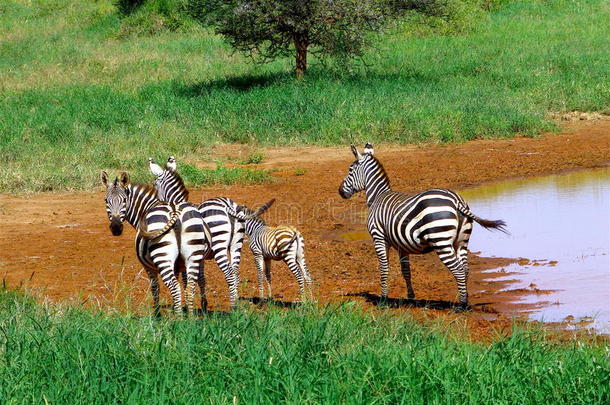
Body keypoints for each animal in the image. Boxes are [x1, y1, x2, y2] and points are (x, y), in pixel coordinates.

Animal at [101, 169, 210, 314]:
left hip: (162, 256)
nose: (116, 227)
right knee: (191, 285)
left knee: (174, 286)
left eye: (124, 200)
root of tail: (175, 212)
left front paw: (158, 313)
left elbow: (155, 287)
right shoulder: (179, 265)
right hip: (193, 255)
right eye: (106, 200)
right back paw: (191, 316)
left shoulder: (148, 267)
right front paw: (181, 308)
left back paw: (179, 318)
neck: (146, 209)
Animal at [148, 156, 246, 308]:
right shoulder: (198, 256)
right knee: (235, 272)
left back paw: (233, 307)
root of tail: (227, 206)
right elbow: (201, 278)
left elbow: (187, 279)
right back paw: (237, 304)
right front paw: (203, 304)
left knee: (229, 273)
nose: (156, 204)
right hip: (237, 244)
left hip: (219, 245)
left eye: (154, 184)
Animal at [338, 144, 504, 304]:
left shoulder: (378, 237)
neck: (378, 197)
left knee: (458, 270)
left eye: (350, 170)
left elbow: (384, 268)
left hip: (441, 241)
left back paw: (461, 305)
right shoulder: (401, 245)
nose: (340, 191)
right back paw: (465, 299)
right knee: (465, 269)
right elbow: (406, 271)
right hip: (462, 241)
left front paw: (383, 299)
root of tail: (456, 201)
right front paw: (410, 297)